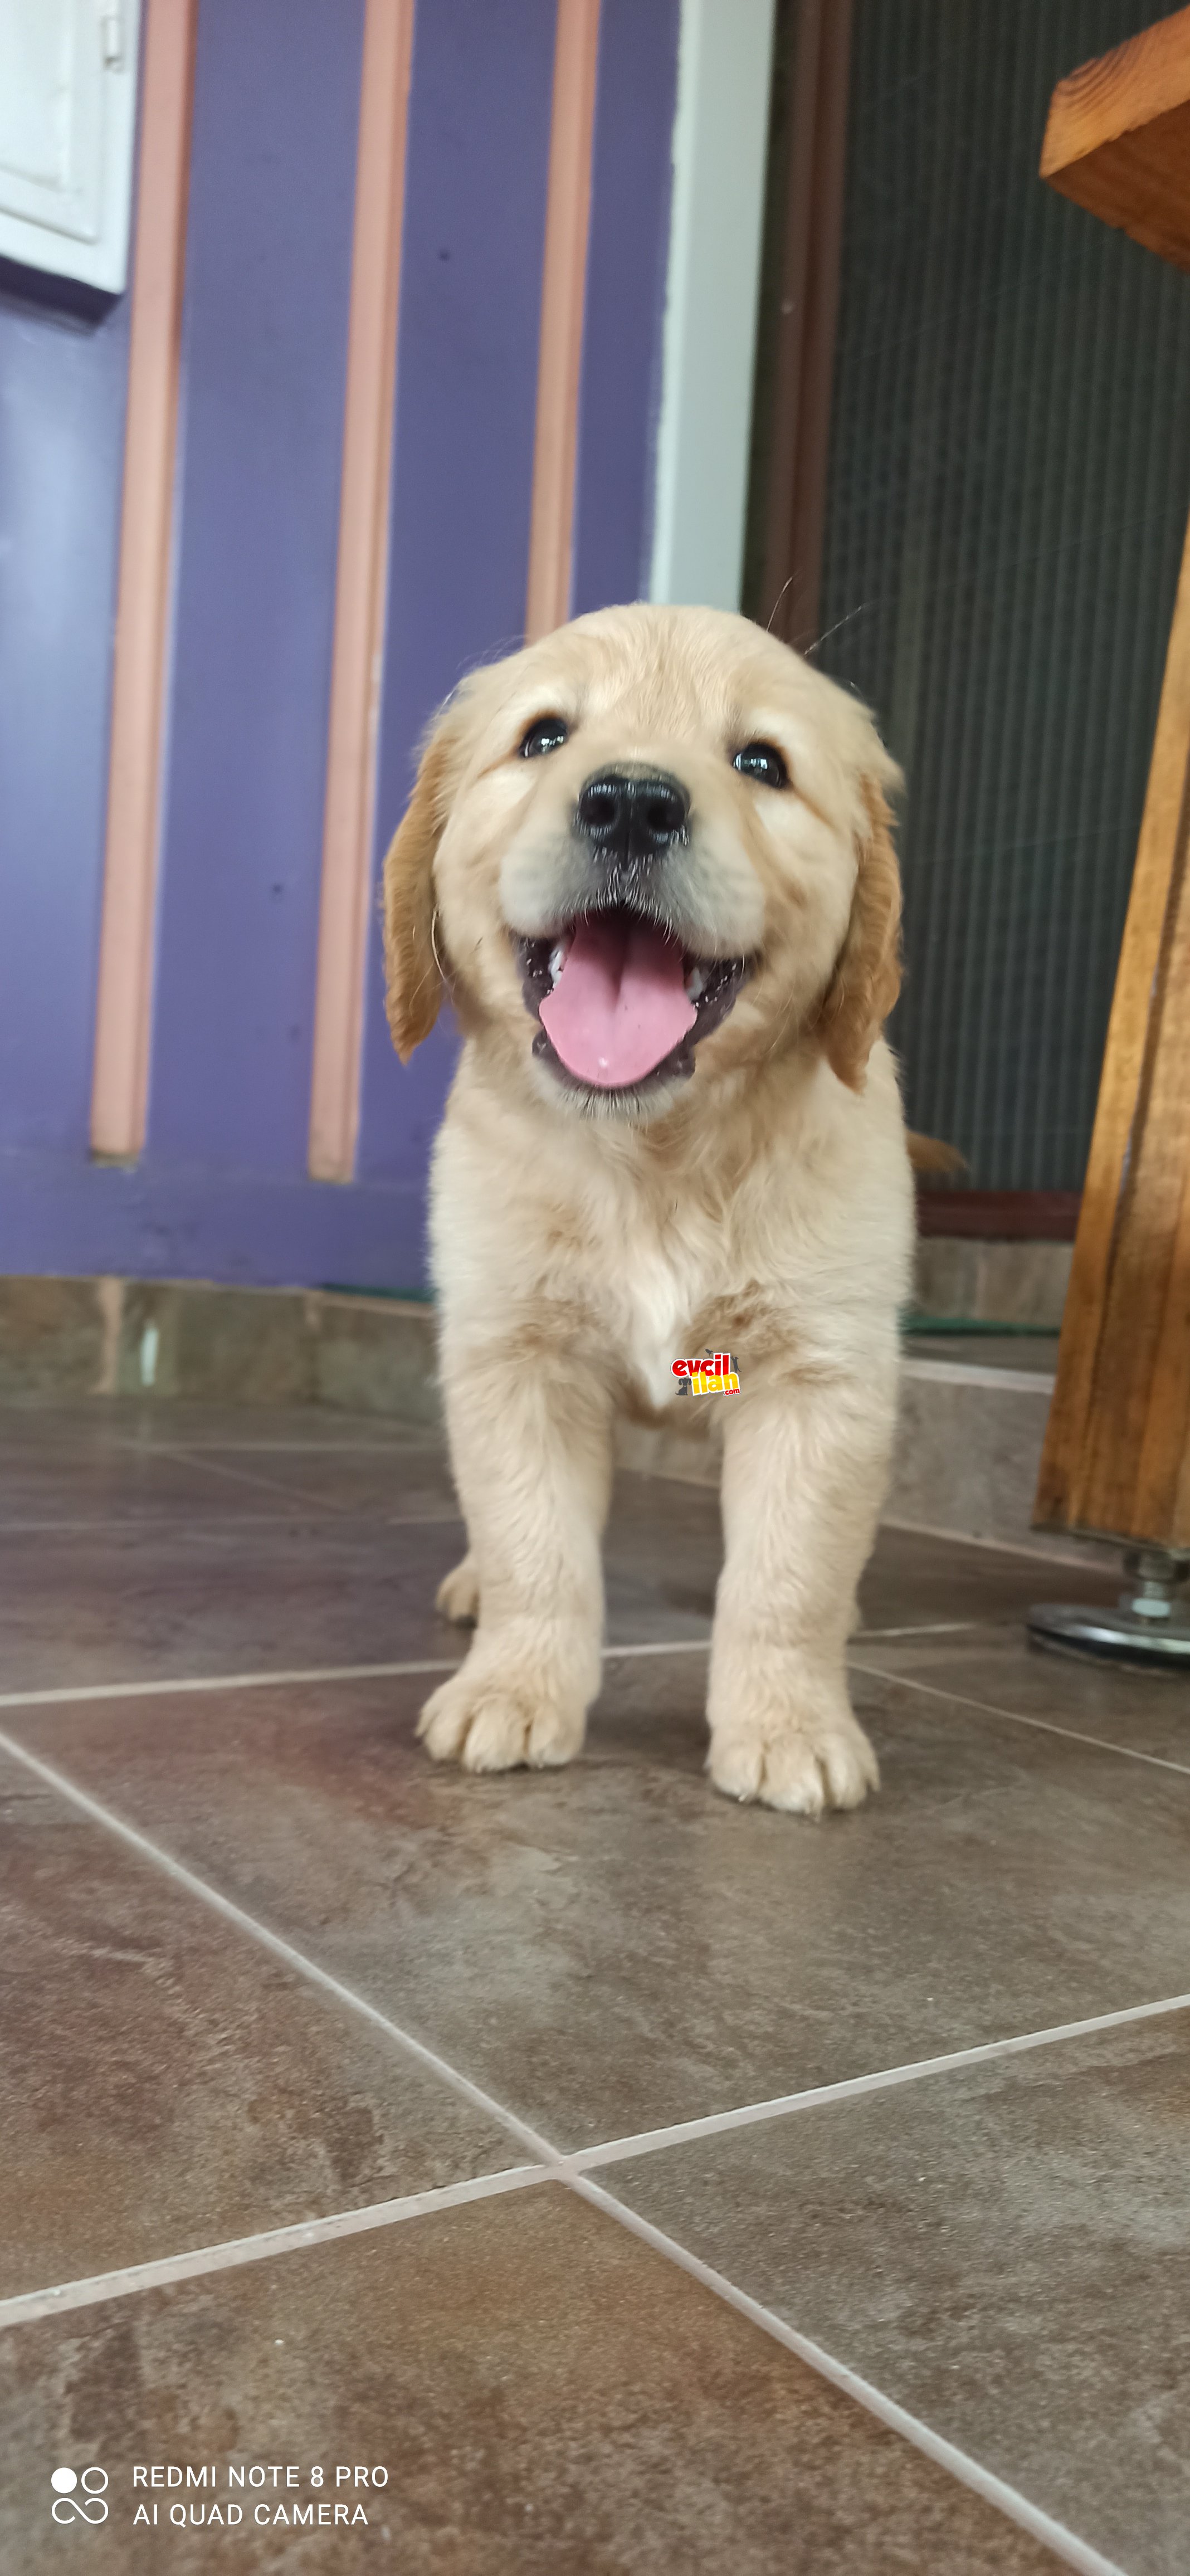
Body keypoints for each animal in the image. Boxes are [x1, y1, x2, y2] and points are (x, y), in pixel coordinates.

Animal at [381, 600, 911, 1813]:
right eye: (542, 736)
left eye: (762, 763)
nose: (629, 800)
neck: (655, 1155)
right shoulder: (512, 1355)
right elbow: (532, 1543)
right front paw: (512, 1688)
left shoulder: (822, 1376)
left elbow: (791, 1577)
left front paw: (790, 1723)